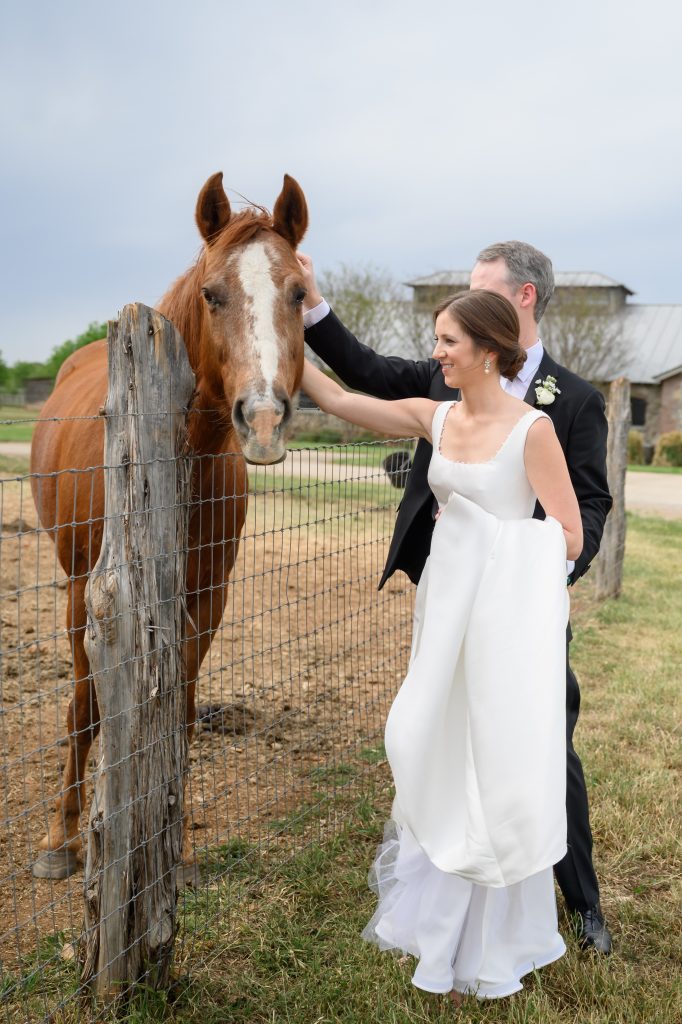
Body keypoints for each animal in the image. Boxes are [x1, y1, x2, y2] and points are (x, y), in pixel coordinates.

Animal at [29, 171, 309, 879]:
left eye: (299, 293)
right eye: (212, 295)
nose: (263, 419)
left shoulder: (208, 599)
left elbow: (180, 712)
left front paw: (174, 847)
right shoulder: (89, 594)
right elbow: (82, 709)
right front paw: (60, 840)